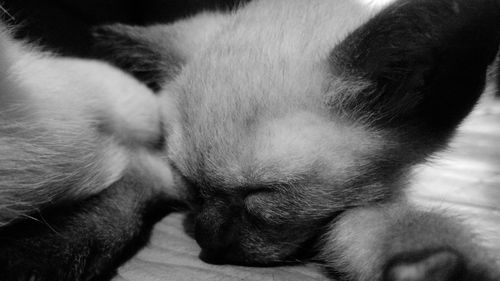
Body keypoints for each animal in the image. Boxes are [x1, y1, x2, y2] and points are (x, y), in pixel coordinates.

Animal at [0, 0, 500, 278]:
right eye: (190, 186)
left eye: (265, 195)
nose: (206, 245)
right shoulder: (155, 167)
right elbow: (113, 206)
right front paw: (31, 258)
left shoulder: (369, 202)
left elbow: (389, 231)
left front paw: (439, 266)